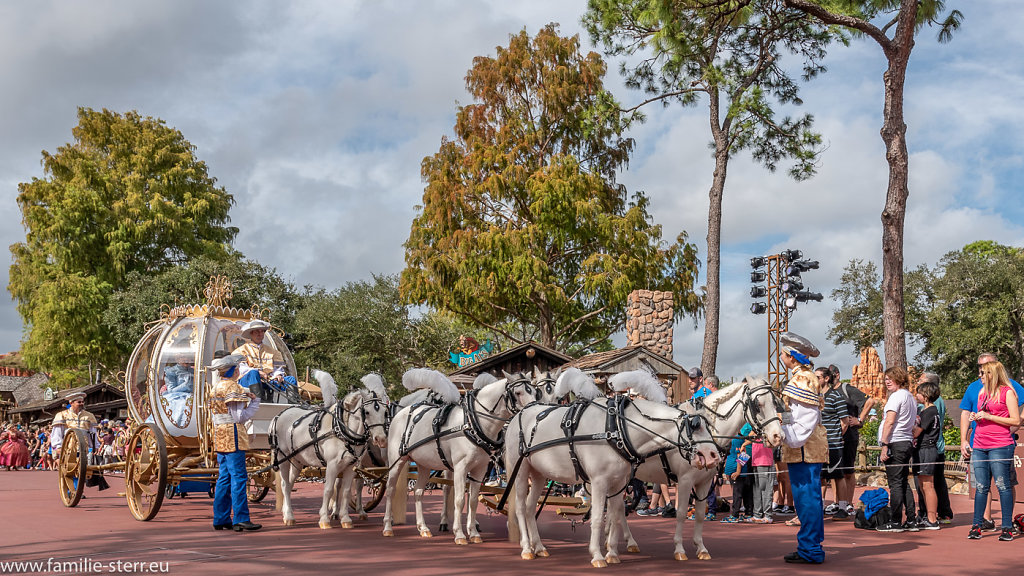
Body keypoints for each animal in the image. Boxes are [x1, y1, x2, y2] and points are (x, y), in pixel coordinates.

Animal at [270, 368, 389, 528]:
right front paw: (324, 519)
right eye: (367, 412)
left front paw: (345, 519)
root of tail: (279, 415)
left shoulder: (351, 466)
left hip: (297, 461)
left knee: (289, 484)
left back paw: (286, 512)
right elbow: (328, 489)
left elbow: (346, 491)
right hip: (283, 458)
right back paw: (289, 516)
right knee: (284, 484)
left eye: (384, 412)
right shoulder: (332, 465)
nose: (381, 439)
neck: (340, 430)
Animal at [382, 366, 540, 541]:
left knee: (418, 492)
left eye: (535, 391)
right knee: (390, 490)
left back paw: (423, 528)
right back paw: (388, 527)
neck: (472, 422)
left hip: (424, 464)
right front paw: (459, 534)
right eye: (518, 392)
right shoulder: (460, 468)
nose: (533, 411)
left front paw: (474, 533)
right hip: (397, 460)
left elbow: (473, 500)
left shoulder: (480, 469)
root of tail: (401, 412)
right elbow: (459, 500)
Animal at [503, 366, 720, 565]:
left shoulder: (619, 483)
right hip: (520, 471)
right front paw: (598, 556)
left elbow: (615, 515)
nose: (713, 456)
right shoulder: (599, 482)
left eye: (710, 426)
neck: (616, 427)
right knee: (521, 507)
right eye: (696, 426)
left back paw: (539, 547)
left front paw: (613, 553)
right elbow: (598, 518)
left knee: (530, 507)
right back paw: (526, 548)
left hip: (539, 473)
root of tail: (519, 414)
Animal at [614, 375, 782, 557]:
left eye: (775, 403)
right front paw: (679, 549)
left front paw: (701, 548)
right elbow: (681, 513)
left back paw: (628, 542)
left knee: (618, 507)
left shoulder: (705, 481)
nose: (778, 436)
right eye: (758, 405)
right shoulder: (685, 480)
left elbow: (701, 513)